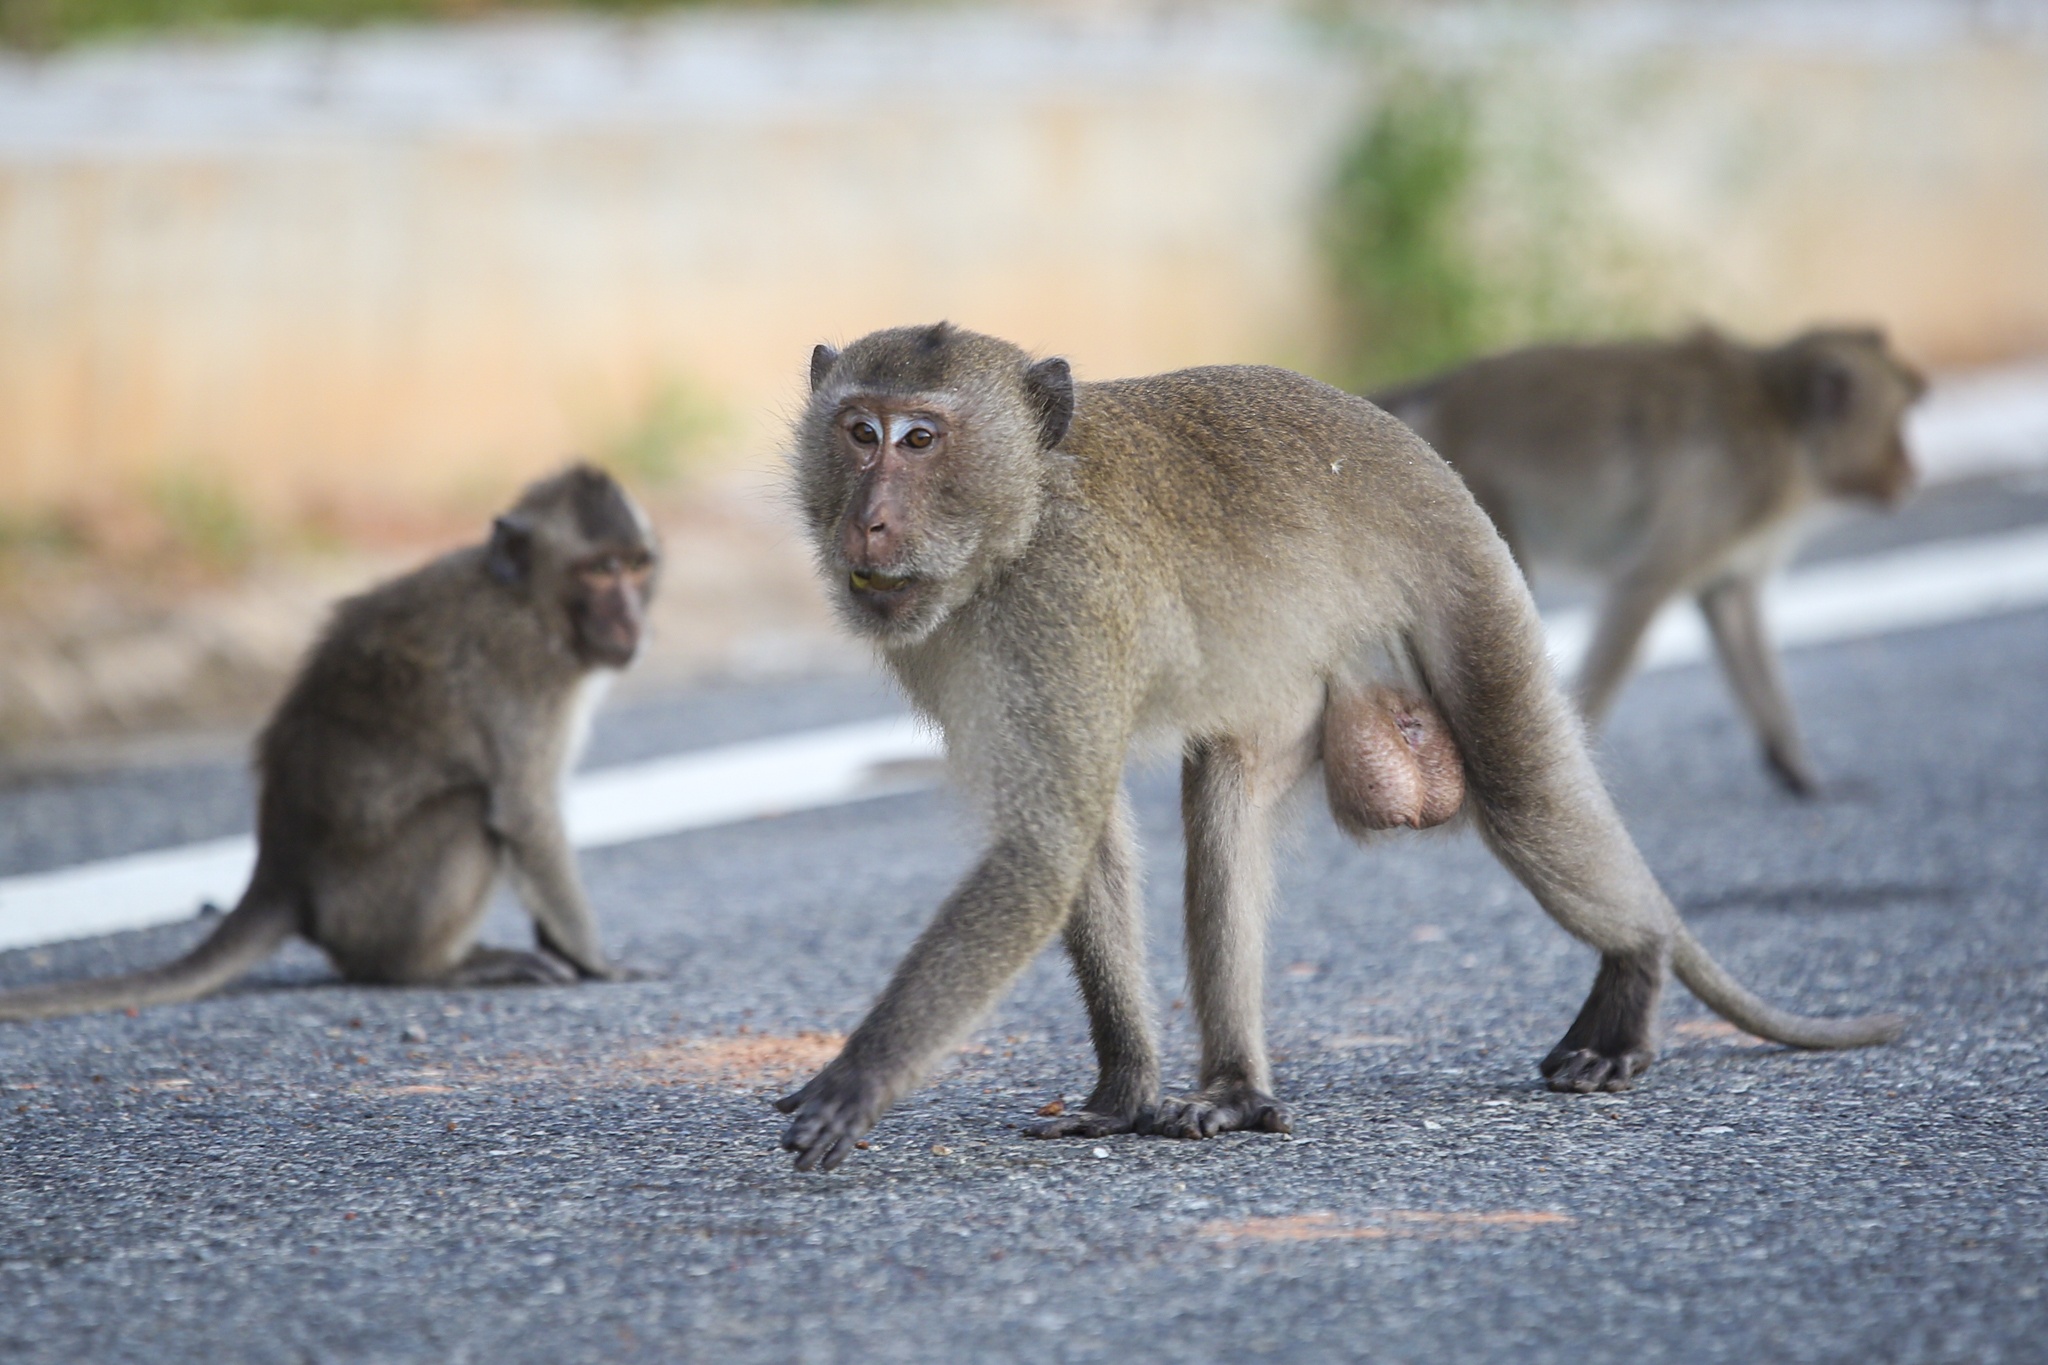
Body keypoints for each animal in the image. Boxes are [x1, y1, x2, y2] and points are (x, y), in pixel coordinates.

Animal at [0, 464, 658, 1022]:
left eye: (636, 568)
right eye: (600, 570)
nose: (631, 620)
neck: (528, 602)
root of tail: (279, 871)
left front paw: (569, 951)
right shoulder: (526, 671)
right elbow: (525, 814)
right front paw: (597, 962)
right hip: (367, 907)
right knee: (466, 812)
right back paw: (423, 970)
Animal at [1371, 326, 1926, 796]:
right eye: (1896, 425)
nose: (1910, 472)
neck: (1784, 428)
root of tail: (1437, 391)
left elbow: (1733, 612)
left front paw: (1794, 766)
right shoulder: (1719, 490)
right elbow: (1642, 588)